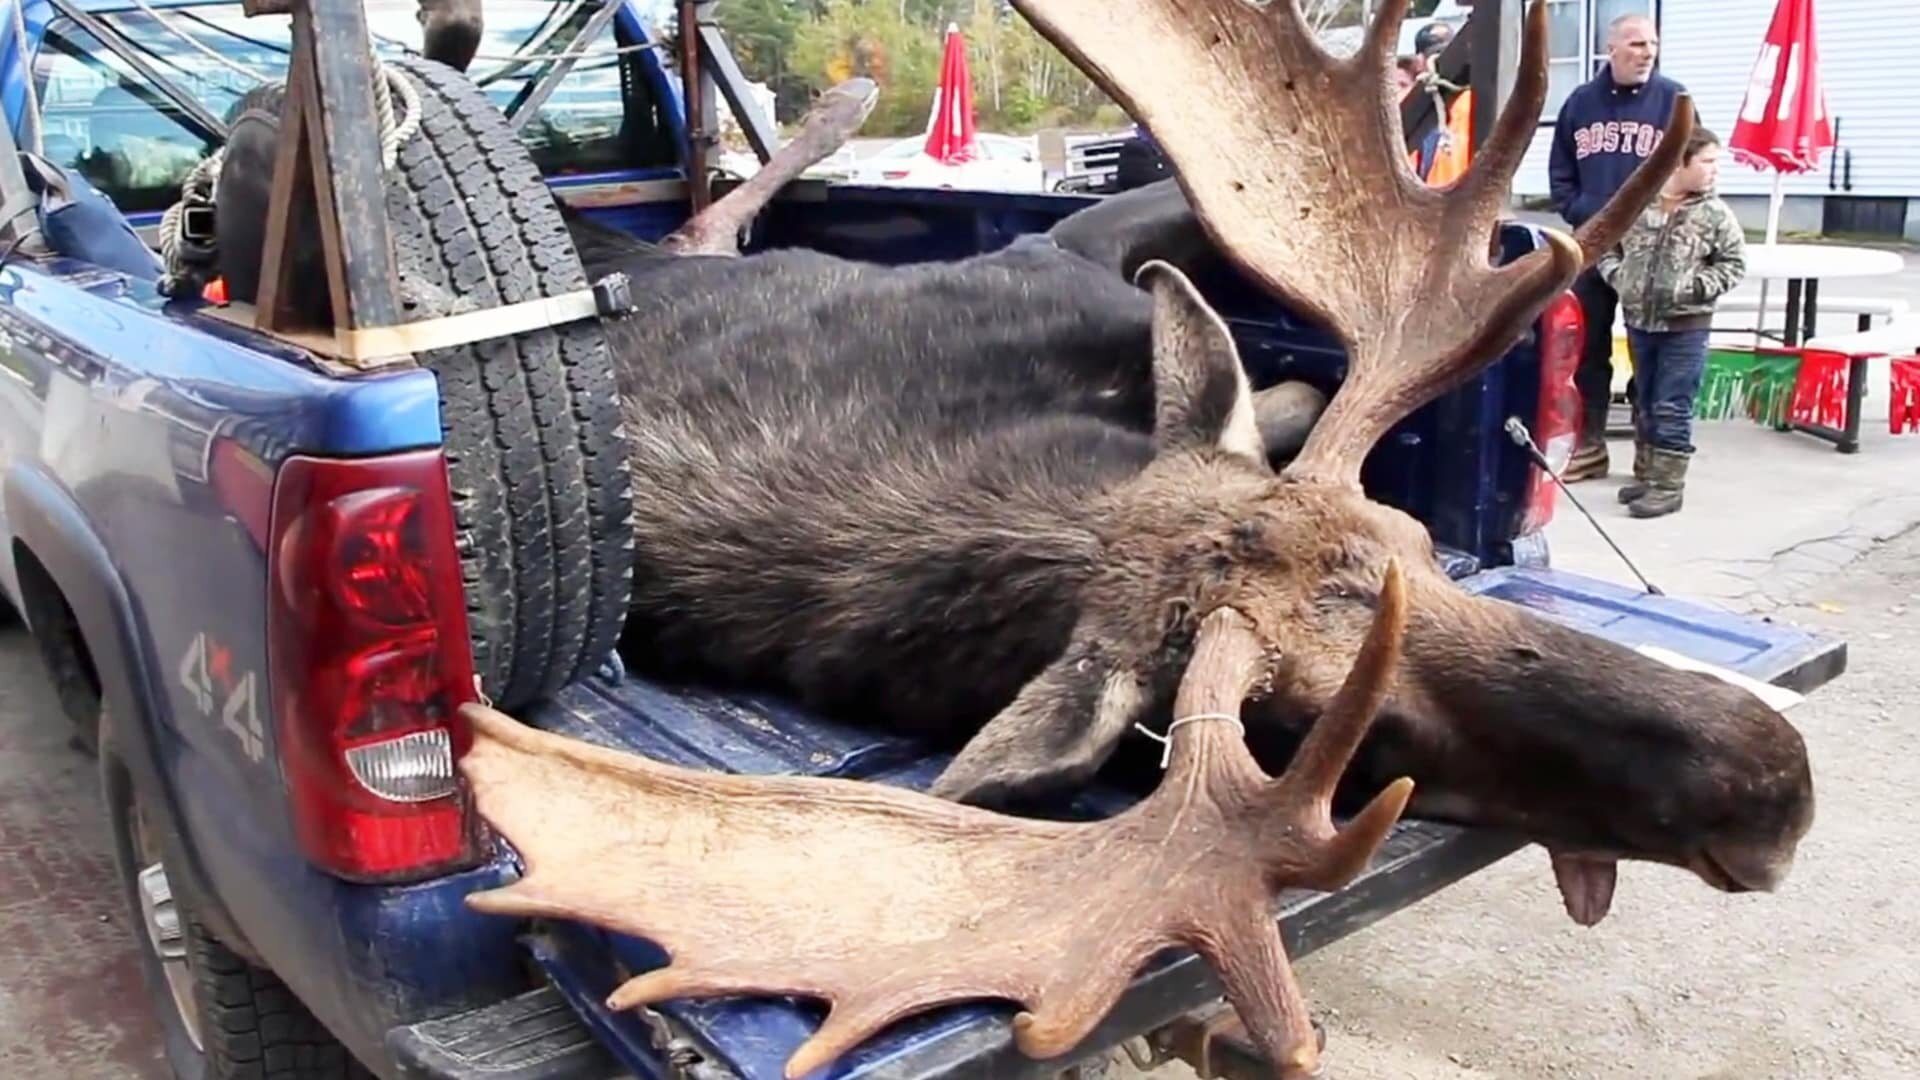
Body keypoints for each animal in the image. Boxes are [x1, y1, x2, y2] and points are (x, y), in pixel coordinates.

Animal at [463, 0, 1816, 1075]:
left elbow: (1268, 373)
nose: (1773, 780)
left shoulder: (1062, 252)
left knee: (708, 222)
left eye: (1421, 542)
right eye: (1328, 733)